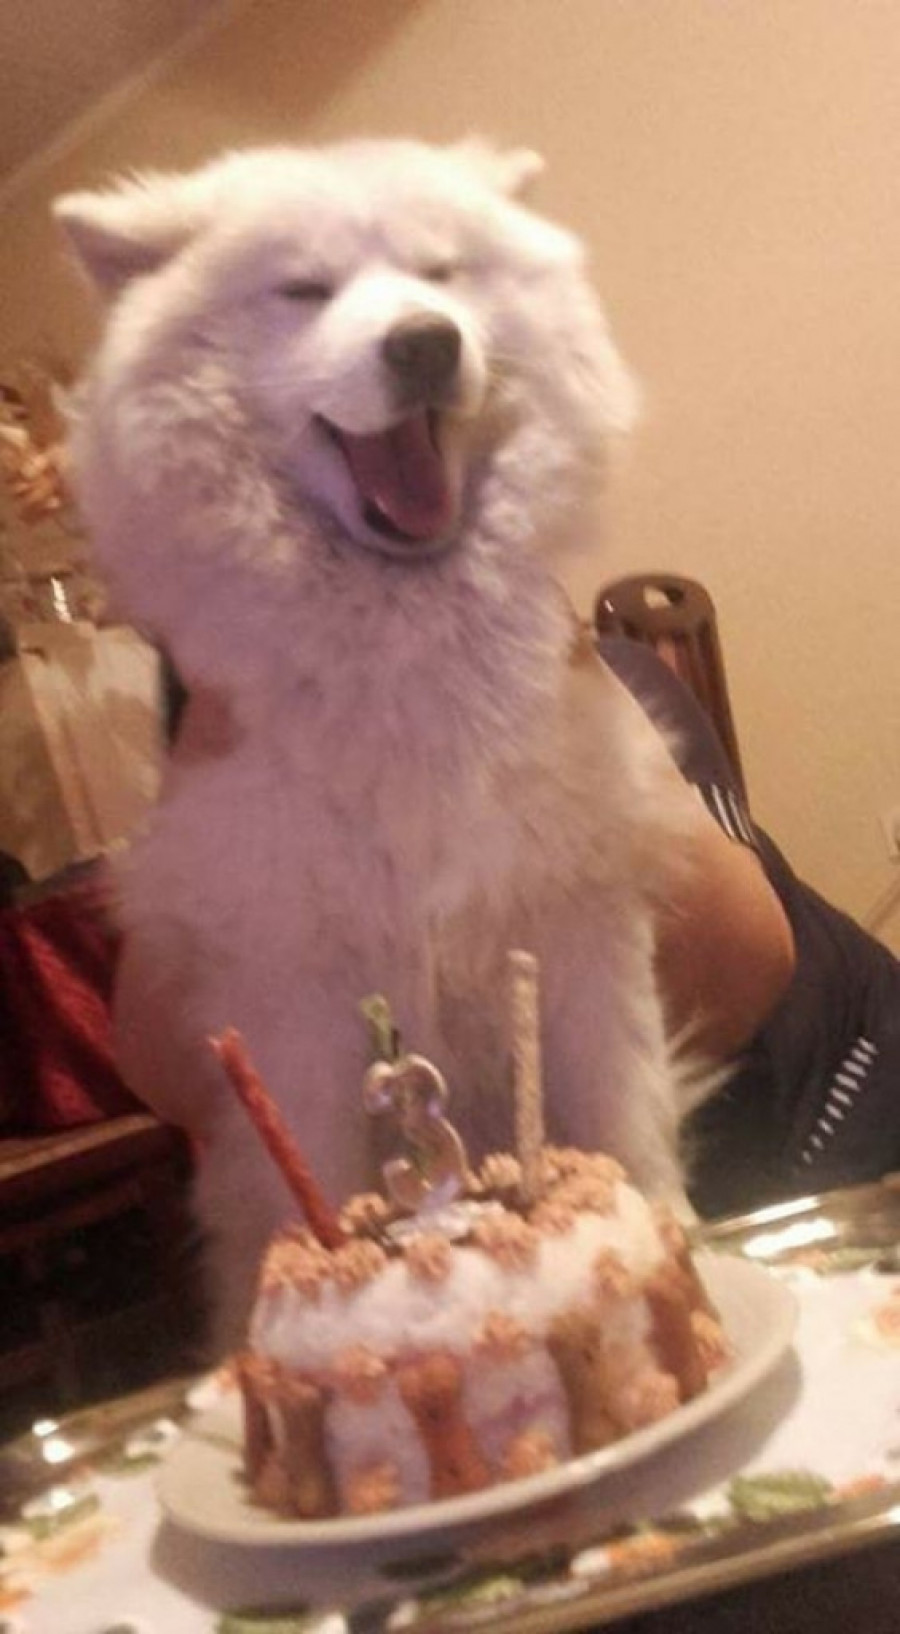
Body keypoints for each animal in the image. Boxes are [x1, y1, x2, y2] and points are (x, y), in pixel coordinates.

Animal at [55, 139, 704, 1349]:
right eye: (302, 290)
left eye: (441, 275)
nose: (424, 341)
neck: (398, 648)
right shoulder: (296, 999)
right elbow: (323, 1160)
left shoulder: (578, 928)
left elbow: (627, 1118)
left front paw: (683, 1241)